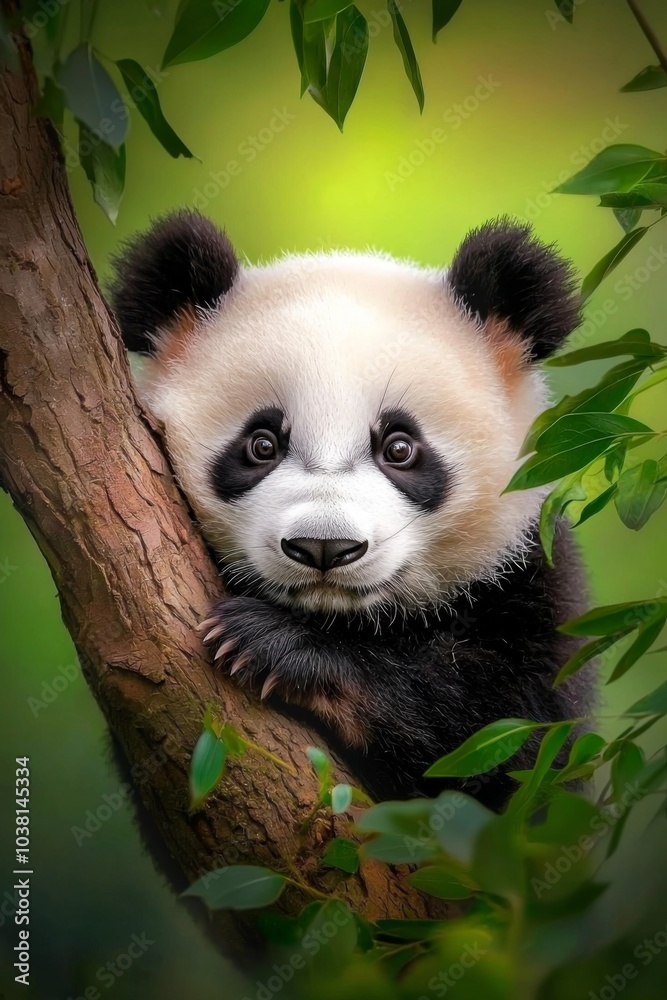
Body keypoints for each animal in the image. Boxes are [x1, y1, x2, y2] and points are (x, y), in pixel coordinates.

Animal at [110, 210, 589, 810]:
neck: (346, 618)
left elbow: (501, 740)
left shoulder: (533, 584)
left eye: (400, 448)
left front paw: (275, 645)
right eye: (262, 444)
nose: (324, 547)